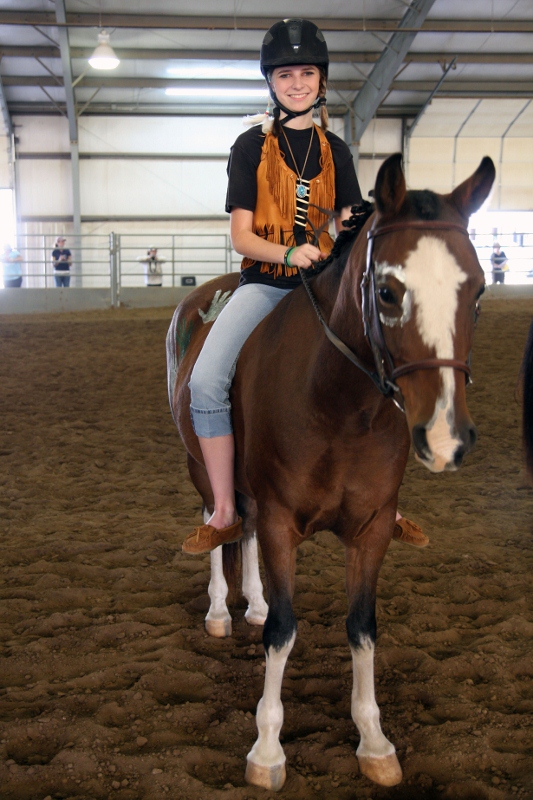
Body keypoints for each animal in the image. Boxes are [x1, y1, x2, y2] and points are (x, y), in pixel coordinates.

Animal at [166, 152, 495, 791]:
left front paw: (374, 741)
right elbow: (283, 631)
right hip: (202, 467)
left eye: (478, 291)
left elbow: (362, 627)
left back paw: (252, 601)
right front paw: (267, 749)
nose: (446, 437)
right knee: (219, 523)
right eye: (388, 291)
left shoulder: (371, 529)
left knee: (241, 532)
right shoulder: (279, 521)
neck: (338, 403)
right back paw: (221, 610)